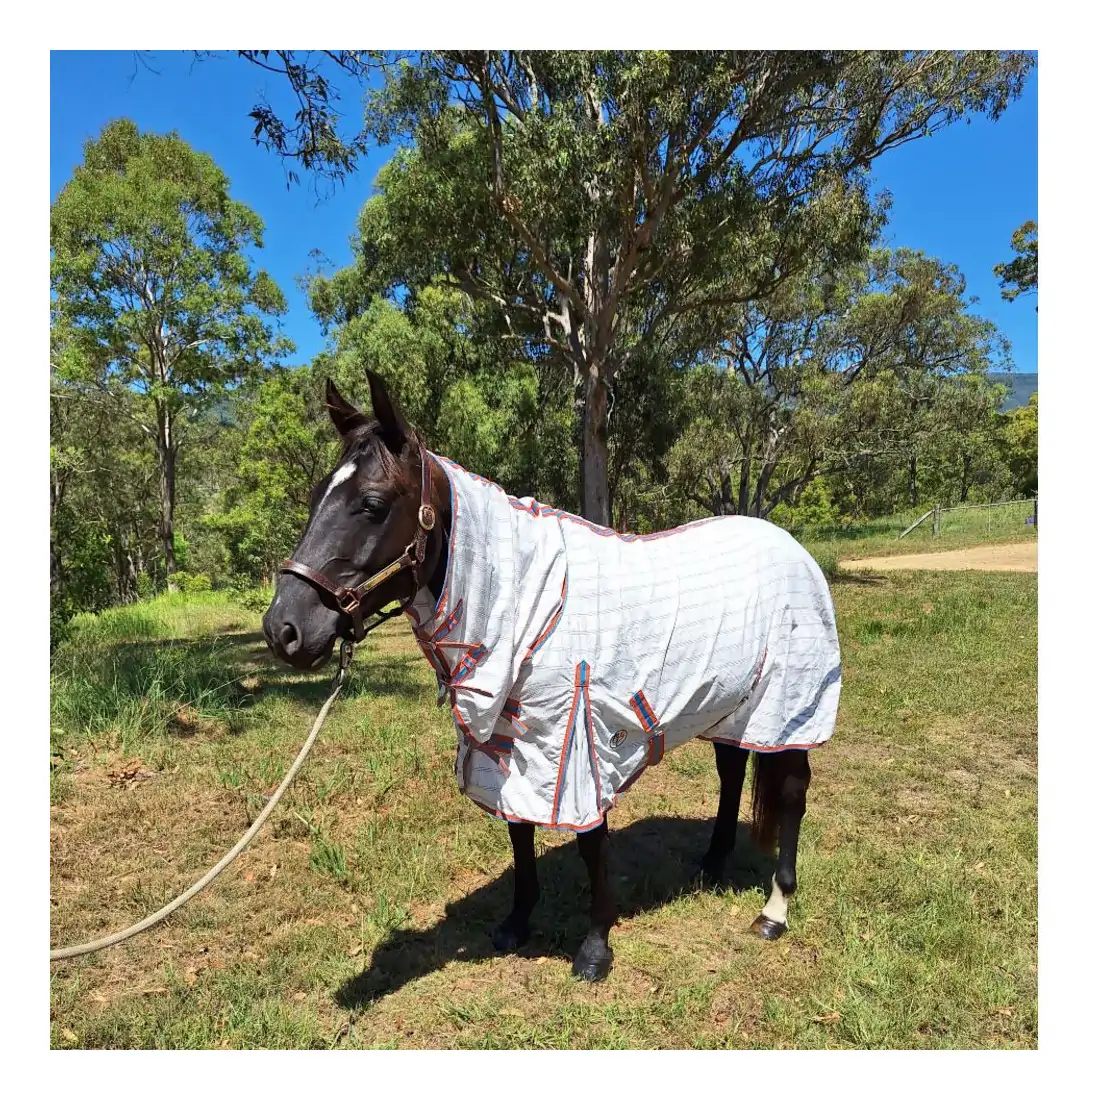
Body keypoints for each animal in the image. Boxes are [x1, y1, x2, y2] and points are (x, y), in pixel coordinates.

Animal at [263, 371, 841, 982]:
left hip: (788, 706)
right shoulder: (510, 744)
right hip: (731, 704)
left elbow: (589, 842)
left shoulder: (576, 741)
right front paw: (517, 923)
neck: (530, 603)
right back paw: (710, 865)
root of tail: (790, 547)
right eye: (316, 496)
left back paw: (774, 911)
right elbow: (518, 830)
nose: (284, 629)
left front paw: (595, 948)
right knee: (731, 770)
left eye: (371, 504)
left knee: (792, 795)